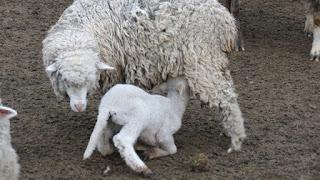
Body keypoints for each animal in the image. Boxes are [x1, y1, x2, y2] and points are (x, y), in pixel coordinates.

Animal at [42, 0, 248, 152]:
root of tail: (225, 19)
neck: (80, 28)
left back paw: (236, 139)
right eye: (64, 80)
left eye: (89, 80)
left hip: (203, 61)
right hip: (212, 61)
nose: (78, 107)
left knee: (227, 99)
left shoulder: (114, 72)